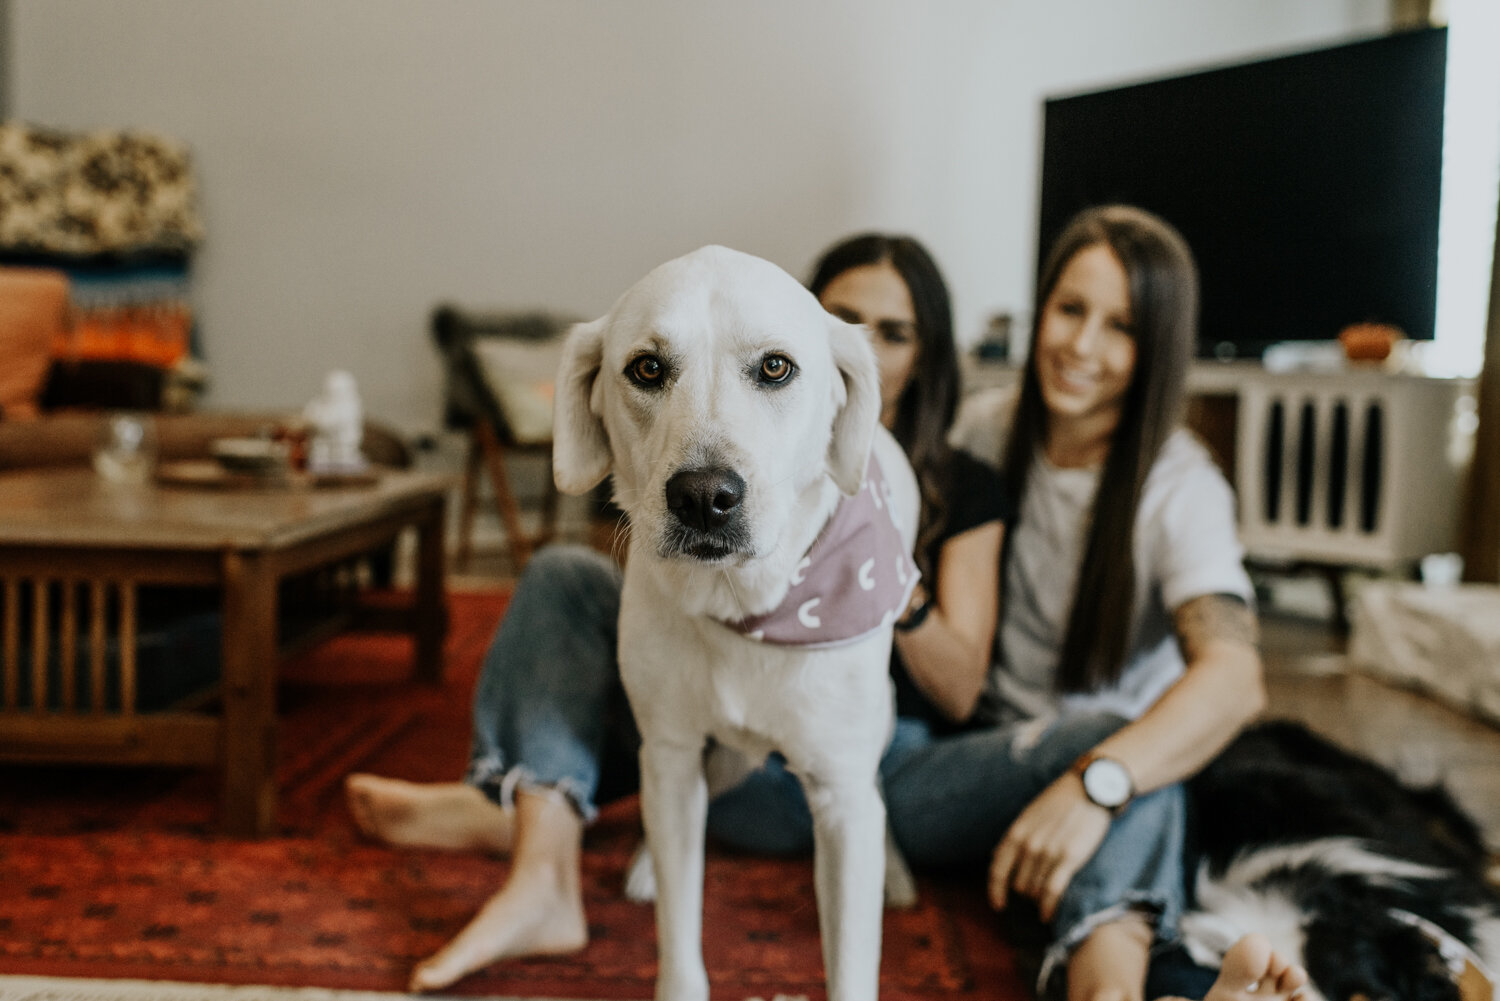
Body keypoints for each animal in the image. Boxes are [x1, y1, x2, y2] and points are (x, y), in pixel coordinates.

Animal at [558, 244, 918, 1001]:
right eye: (646, 368)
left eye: (776, 367)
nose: (703, 496)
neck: (747, 607)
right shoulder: (669, 752)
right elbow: (679, 921)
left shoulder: (839, 796)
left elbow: (851, 954)